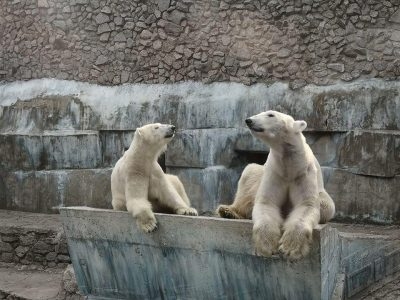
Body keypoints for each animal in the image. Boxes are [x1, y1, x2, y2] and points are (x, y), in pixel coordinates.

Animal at [217, 110, 336, 260]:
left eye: (270, 115)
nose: (249, 120)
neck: (289, 165)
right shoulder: (275, 171)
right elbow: (267, 203)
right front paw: (267, 246)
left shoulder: (304, 173)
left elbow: (306, 205)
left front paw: (290, 248)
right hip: (258, 175)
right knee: (249, 173)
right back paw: (228, 211)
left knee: (327, 206)